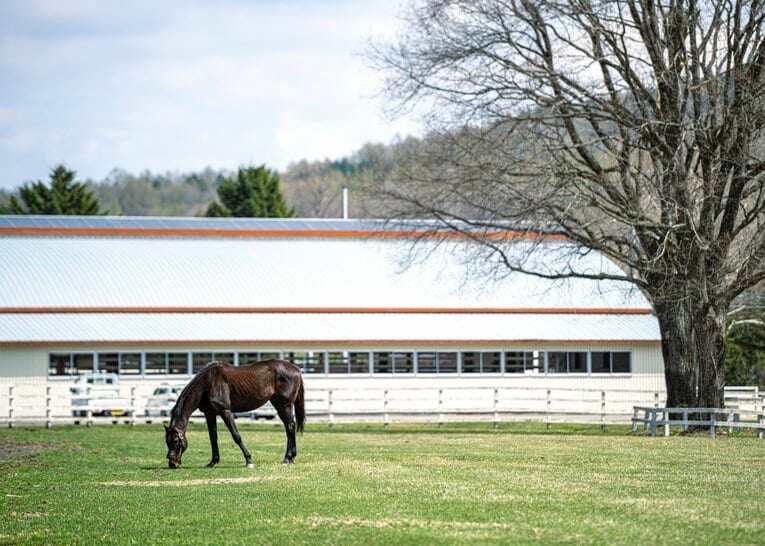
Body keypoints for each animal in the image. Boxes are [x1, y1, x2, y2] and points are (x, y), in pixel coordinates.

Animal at [164, 359, 305, 469]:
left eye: (176, 441)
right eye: (167, 441)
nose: (172, 463)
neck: (208, 382)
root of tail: (296, 369)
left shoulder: (225, 411)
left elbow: (236, 435)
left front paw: (249, 460)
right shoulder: (210, 414)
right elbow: (213, 438)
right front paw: (213, 462)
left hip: (285, 405)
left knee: (290, 427)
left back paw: (287, 459)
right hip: (278, 403)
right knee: (289, 426)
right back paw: (291, 458)